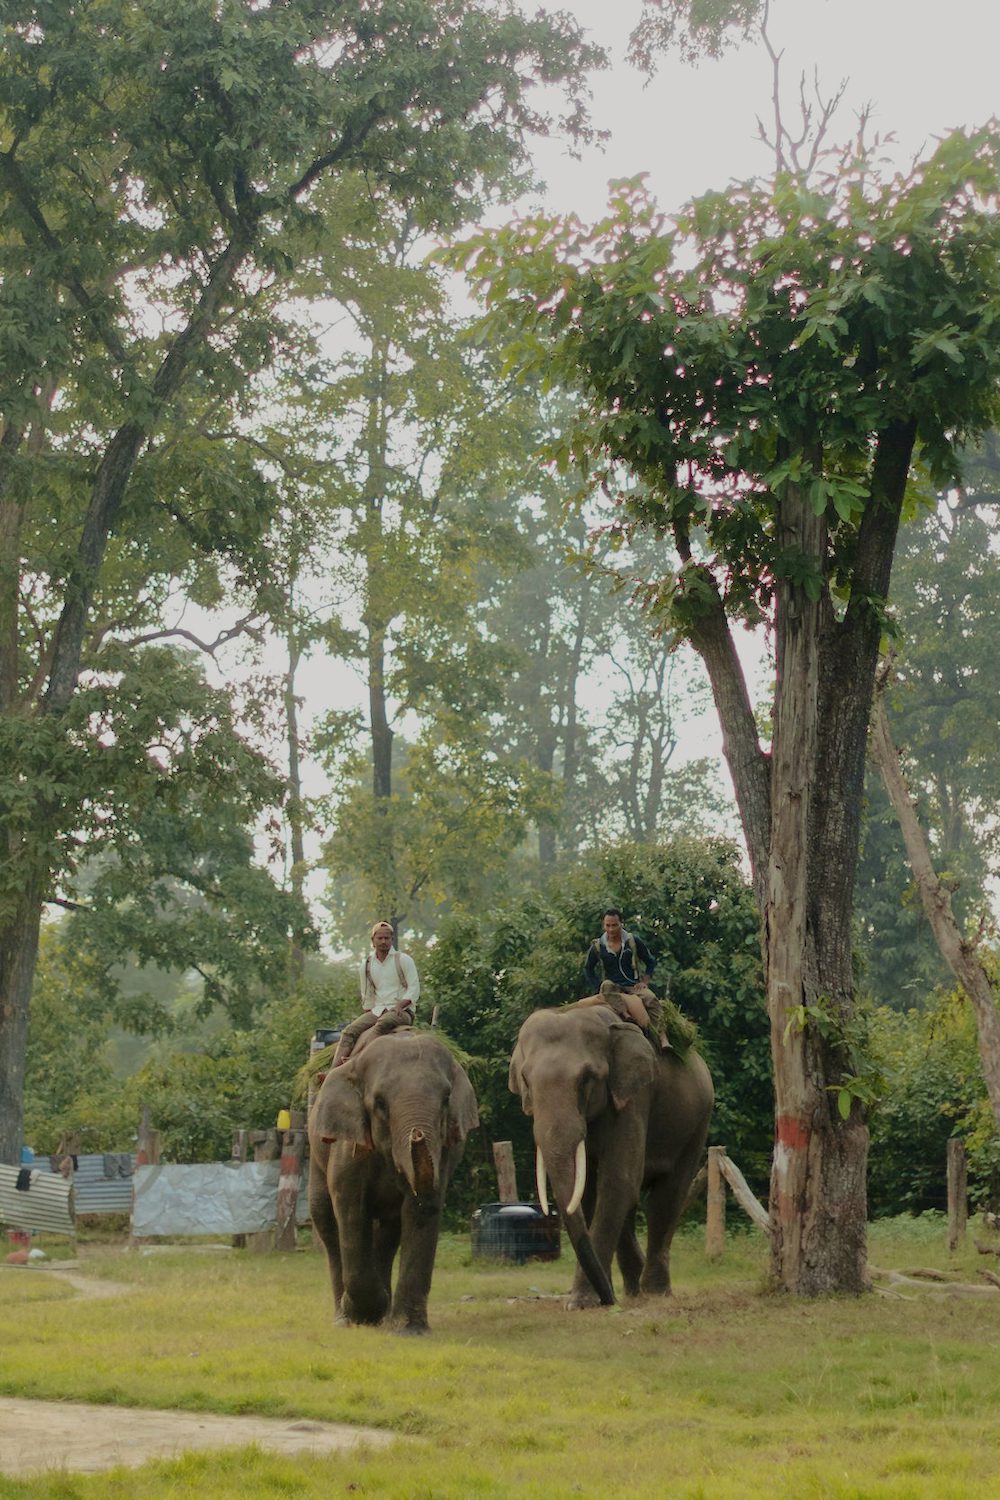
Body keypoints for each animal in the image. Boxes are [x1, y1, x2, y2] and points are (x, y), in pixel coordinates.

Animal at [308, 1032, 479, 1338]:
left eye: (446, 1099)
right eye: (379, 1103)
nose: (418, 1134)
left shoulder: (444, 1151)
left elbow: (421, 1209)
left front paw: (409, 1330)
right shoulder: (348, 1146)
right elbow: (351, 1211)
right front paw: (363, 1313)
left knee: (388, 1234)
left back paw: (384, 1314)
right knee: (327, 1221)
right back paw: (345, 1317)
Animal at [512, 1002, 716, 1308]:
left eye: (587, 1079)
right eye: (526, 1080)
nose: (608, 1299)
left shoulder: (634, 1098)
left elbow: (617, 1180)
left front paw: (581, 1302)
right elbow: (588, 1193)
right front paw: (594, 1297)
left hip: (697, 1123)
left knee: (666, 1197)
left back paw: (653, 1292)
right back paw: (633, 1289)